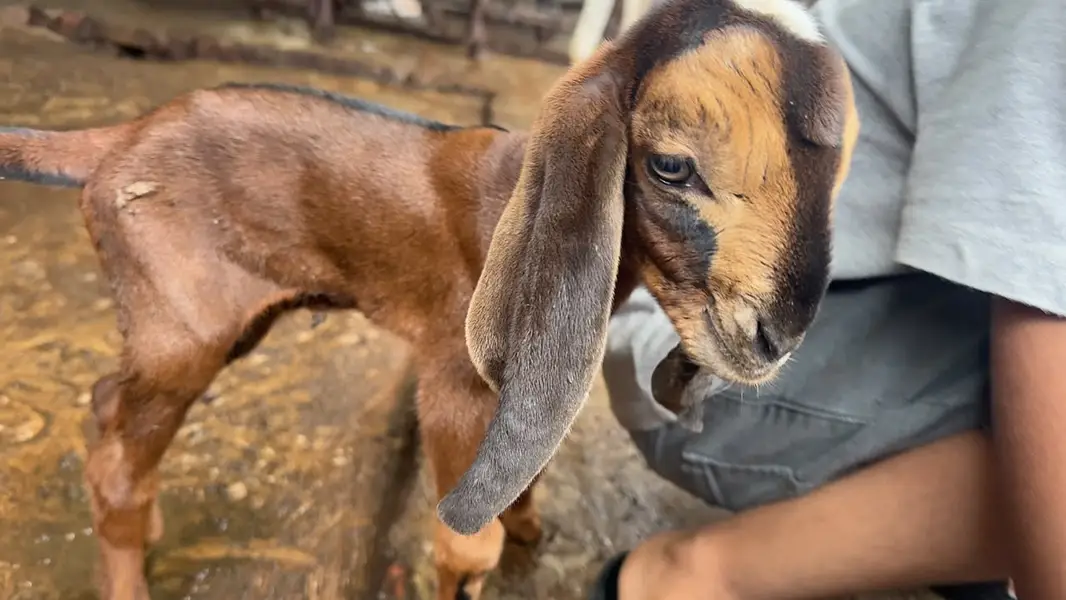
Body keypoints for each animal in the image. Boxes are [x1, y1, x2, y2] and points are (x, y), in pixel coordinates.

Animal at [0, 0, 858, 597]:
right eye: (671, 165)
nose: (778, 335)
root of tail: (117, 139)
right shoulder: (454, 378)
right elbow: (463, 543)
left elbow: (524, 472)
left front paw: (529, 529)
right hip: (184, 326)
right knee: (120, 460)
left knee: (109, 406)